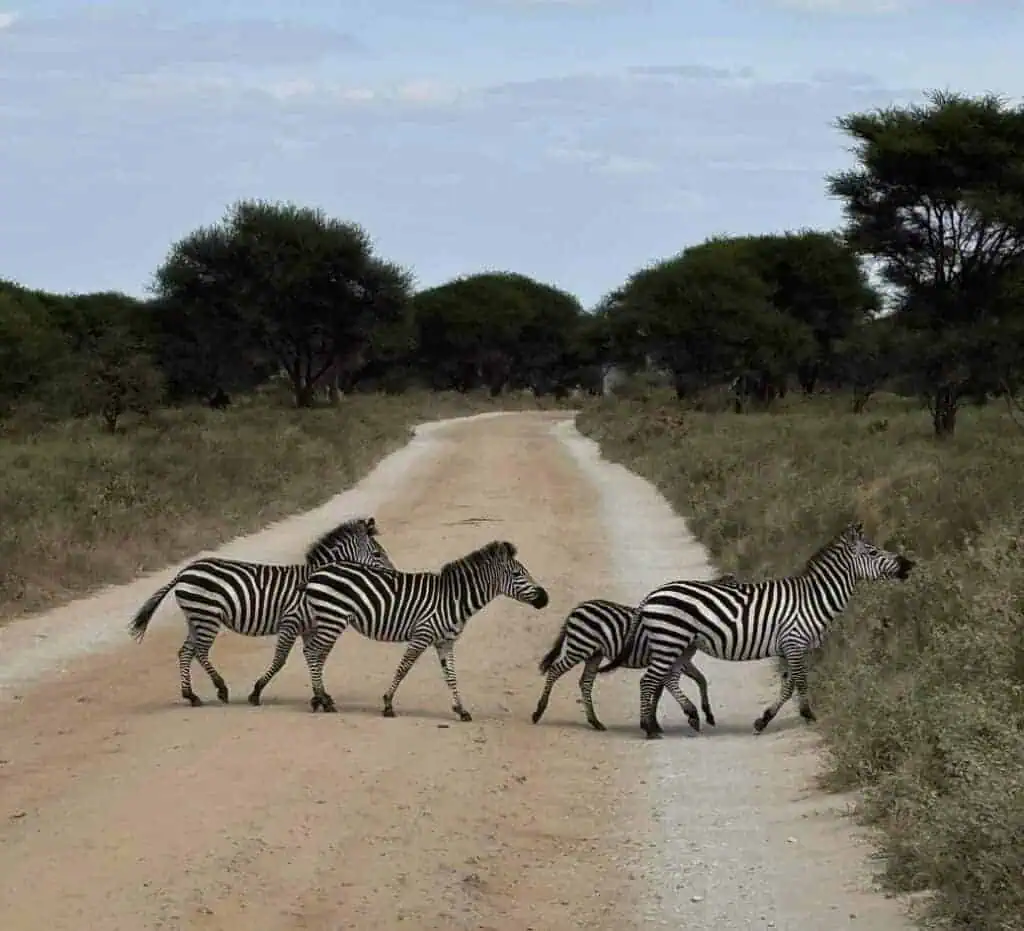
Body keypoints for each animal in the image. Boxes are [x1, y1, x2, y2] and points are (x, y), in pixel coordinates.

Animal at [128, 516, 394, 707]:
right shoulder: (291, 621)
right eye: (377, 554)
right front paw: (256, 693)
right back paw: (221, 689)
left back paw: (191, 696)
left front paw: (320, 696)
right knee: (200, 652)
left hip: (195, 617)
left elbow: (316, 658)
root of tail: (184, 572)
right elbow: (281, 660)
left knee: (186, 652)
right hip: (207, 617)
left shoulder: (310, 626)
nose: (393, 573)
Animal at [247, 540, 549, 720]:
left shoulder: (445, 642)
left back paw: (319, 699)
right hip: (333, 617)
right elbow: (403, 668)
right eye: (518, 574)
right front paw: (388, 704)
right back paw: (322, 700)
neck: (454, 598)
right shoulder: (423, 634)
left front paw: (461, 710)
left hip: (327, 618)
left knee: (314, 654)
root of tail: (316, 573)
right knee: (313, 654)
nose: (545, 598)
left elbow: (451, 677)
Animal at [529, 574, 740, 733]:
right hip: (579, 647)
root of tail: (577, 609)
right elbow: (698, 680)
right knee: (555, 670)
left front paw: (652, 722)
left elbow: (664, 689)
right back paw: (539, 711)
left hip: (594, 653)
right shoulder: (675, 659)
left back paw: (595, 722)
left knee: (585, 682)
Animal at [599, 522, 915, 739]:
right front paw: (809, 716)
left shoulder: (790, 647)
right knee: (649, 681)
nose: (908, 564)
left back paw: (685, 717)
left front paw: (764, 719)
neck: (814, 598)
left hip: (681, 644)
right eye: (873, 551)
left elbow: (788, 686)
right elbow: (801, 682)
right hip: (671, 639)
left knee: (667, 679)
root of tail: (652, 594)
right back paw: (649, 728)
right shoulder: (795, 642)